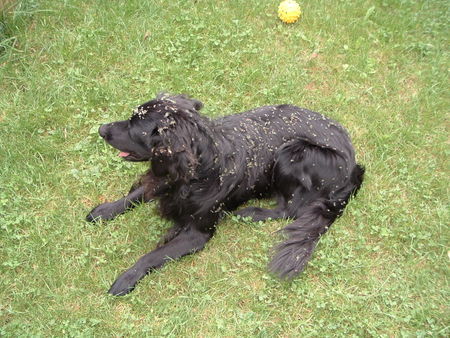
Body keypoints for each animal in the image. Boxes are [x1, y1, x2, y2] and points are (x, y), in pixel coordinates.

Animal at [86, 93, 364, 296]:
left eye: (134, 128)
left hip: (294, 152)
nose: (101, 129)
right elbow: (137, 194)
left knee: (291, 209)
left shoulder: (197, 233)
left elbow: (152, 255)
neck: (198, 170)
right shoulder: (164, 181)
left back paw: (252, 213)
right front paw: (106, 210)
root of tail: (354, 166)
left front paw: (126, 277)